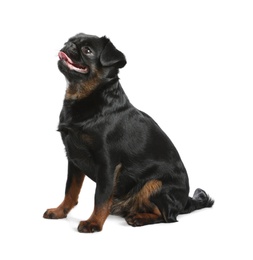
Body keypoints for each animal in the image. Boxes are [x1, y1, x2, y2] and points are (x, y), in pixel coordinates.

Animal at [43, 33, 213, 234]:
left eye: (87, 50)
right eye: (69, 41)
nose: (68, 45)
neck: (85, 96)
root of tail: (186, 201)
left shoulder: (107, 164)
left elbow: (100, 196)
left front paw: (94, 223)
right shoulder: (74, 159)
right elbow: (70, 190)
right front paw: (60, 211)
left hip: (155, 184)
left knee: (168, 217)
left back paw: (139, 218)